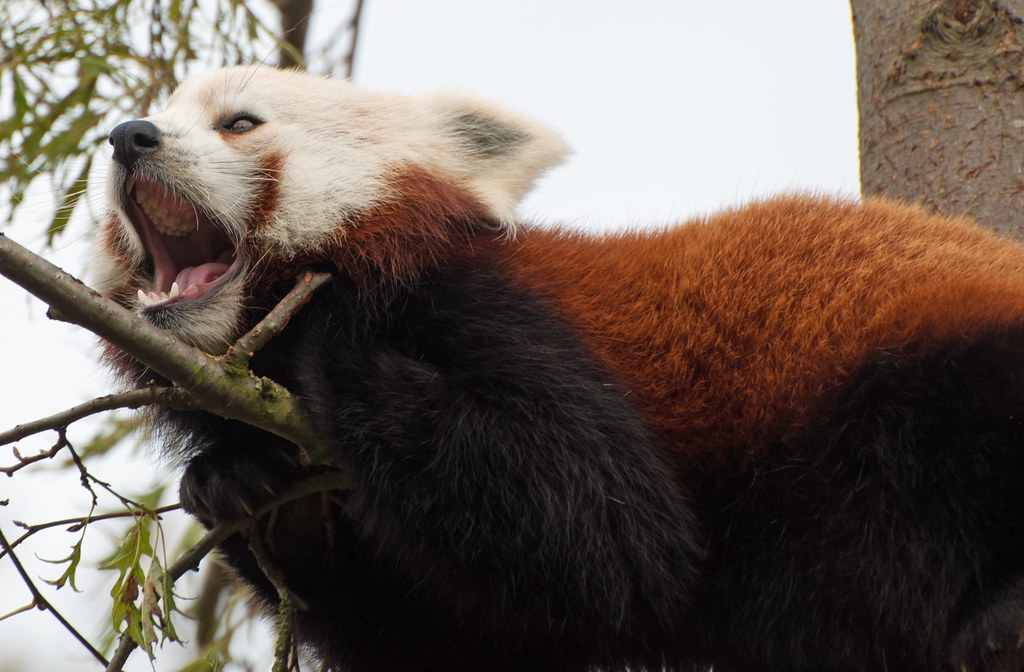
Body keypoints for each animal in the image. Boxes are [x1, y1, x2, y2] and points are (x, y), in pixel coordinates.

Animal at [94, 64, 1024, 672]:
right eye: (151, 117)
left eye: (239, 123)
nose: (129, 137)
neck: (264, 348)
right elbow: (453, 638)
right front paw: (244, 483)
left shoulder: (489, 313)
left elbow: (609, 538)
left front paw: (337, 346)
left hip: (901, 371)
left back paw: (1000, 611)